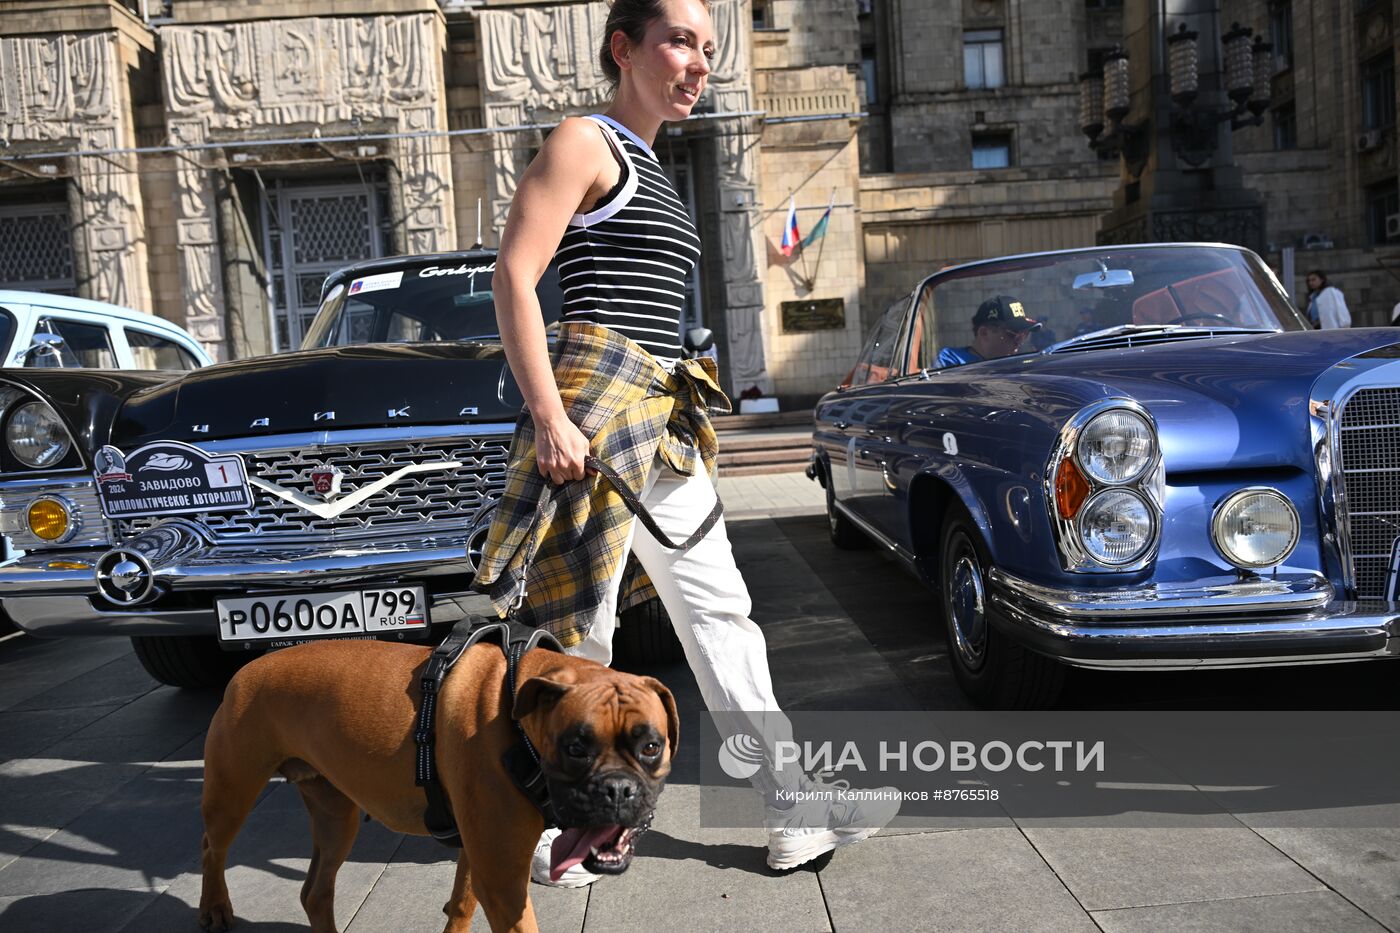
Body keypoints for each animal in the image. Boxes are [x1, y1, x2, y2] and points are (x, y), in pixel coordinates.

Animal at [197, 636, 677, 924]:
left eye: (651, 747)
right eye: (576, 748)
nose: (617, 789)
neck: (517, 713)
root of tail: (244, 671)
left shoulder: (480, 855)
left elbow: (461, 904)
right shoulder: (503, 882)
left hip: (335, 817)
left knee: (315, 892)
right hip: (231, 793)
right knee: (211, 847)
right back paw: (214, 907)